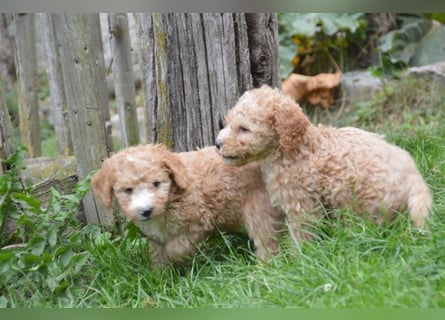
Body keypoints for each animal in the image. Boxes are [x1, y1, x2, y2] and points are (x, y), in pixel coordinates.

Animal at [91, 144, 282, 266]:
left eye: (156, 183)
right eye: (128, 190)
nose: (146, 211)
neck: (171, 198)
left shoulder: (198, 223)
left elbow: (175, 248)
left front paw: (180, 261)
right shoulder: (155, 238)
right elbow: (158, 257)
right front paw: (160, 280)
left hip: (258, 209)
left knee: (267, 241)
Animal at [217, 85, 432, 240]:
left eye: (244, 129)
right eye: (228, 123)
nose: (218, 143)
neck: (293, 149)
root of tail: (415, 182)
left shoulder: (300, 203)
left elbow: (302, 234)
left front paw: (298, 260)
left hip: (360, 198)